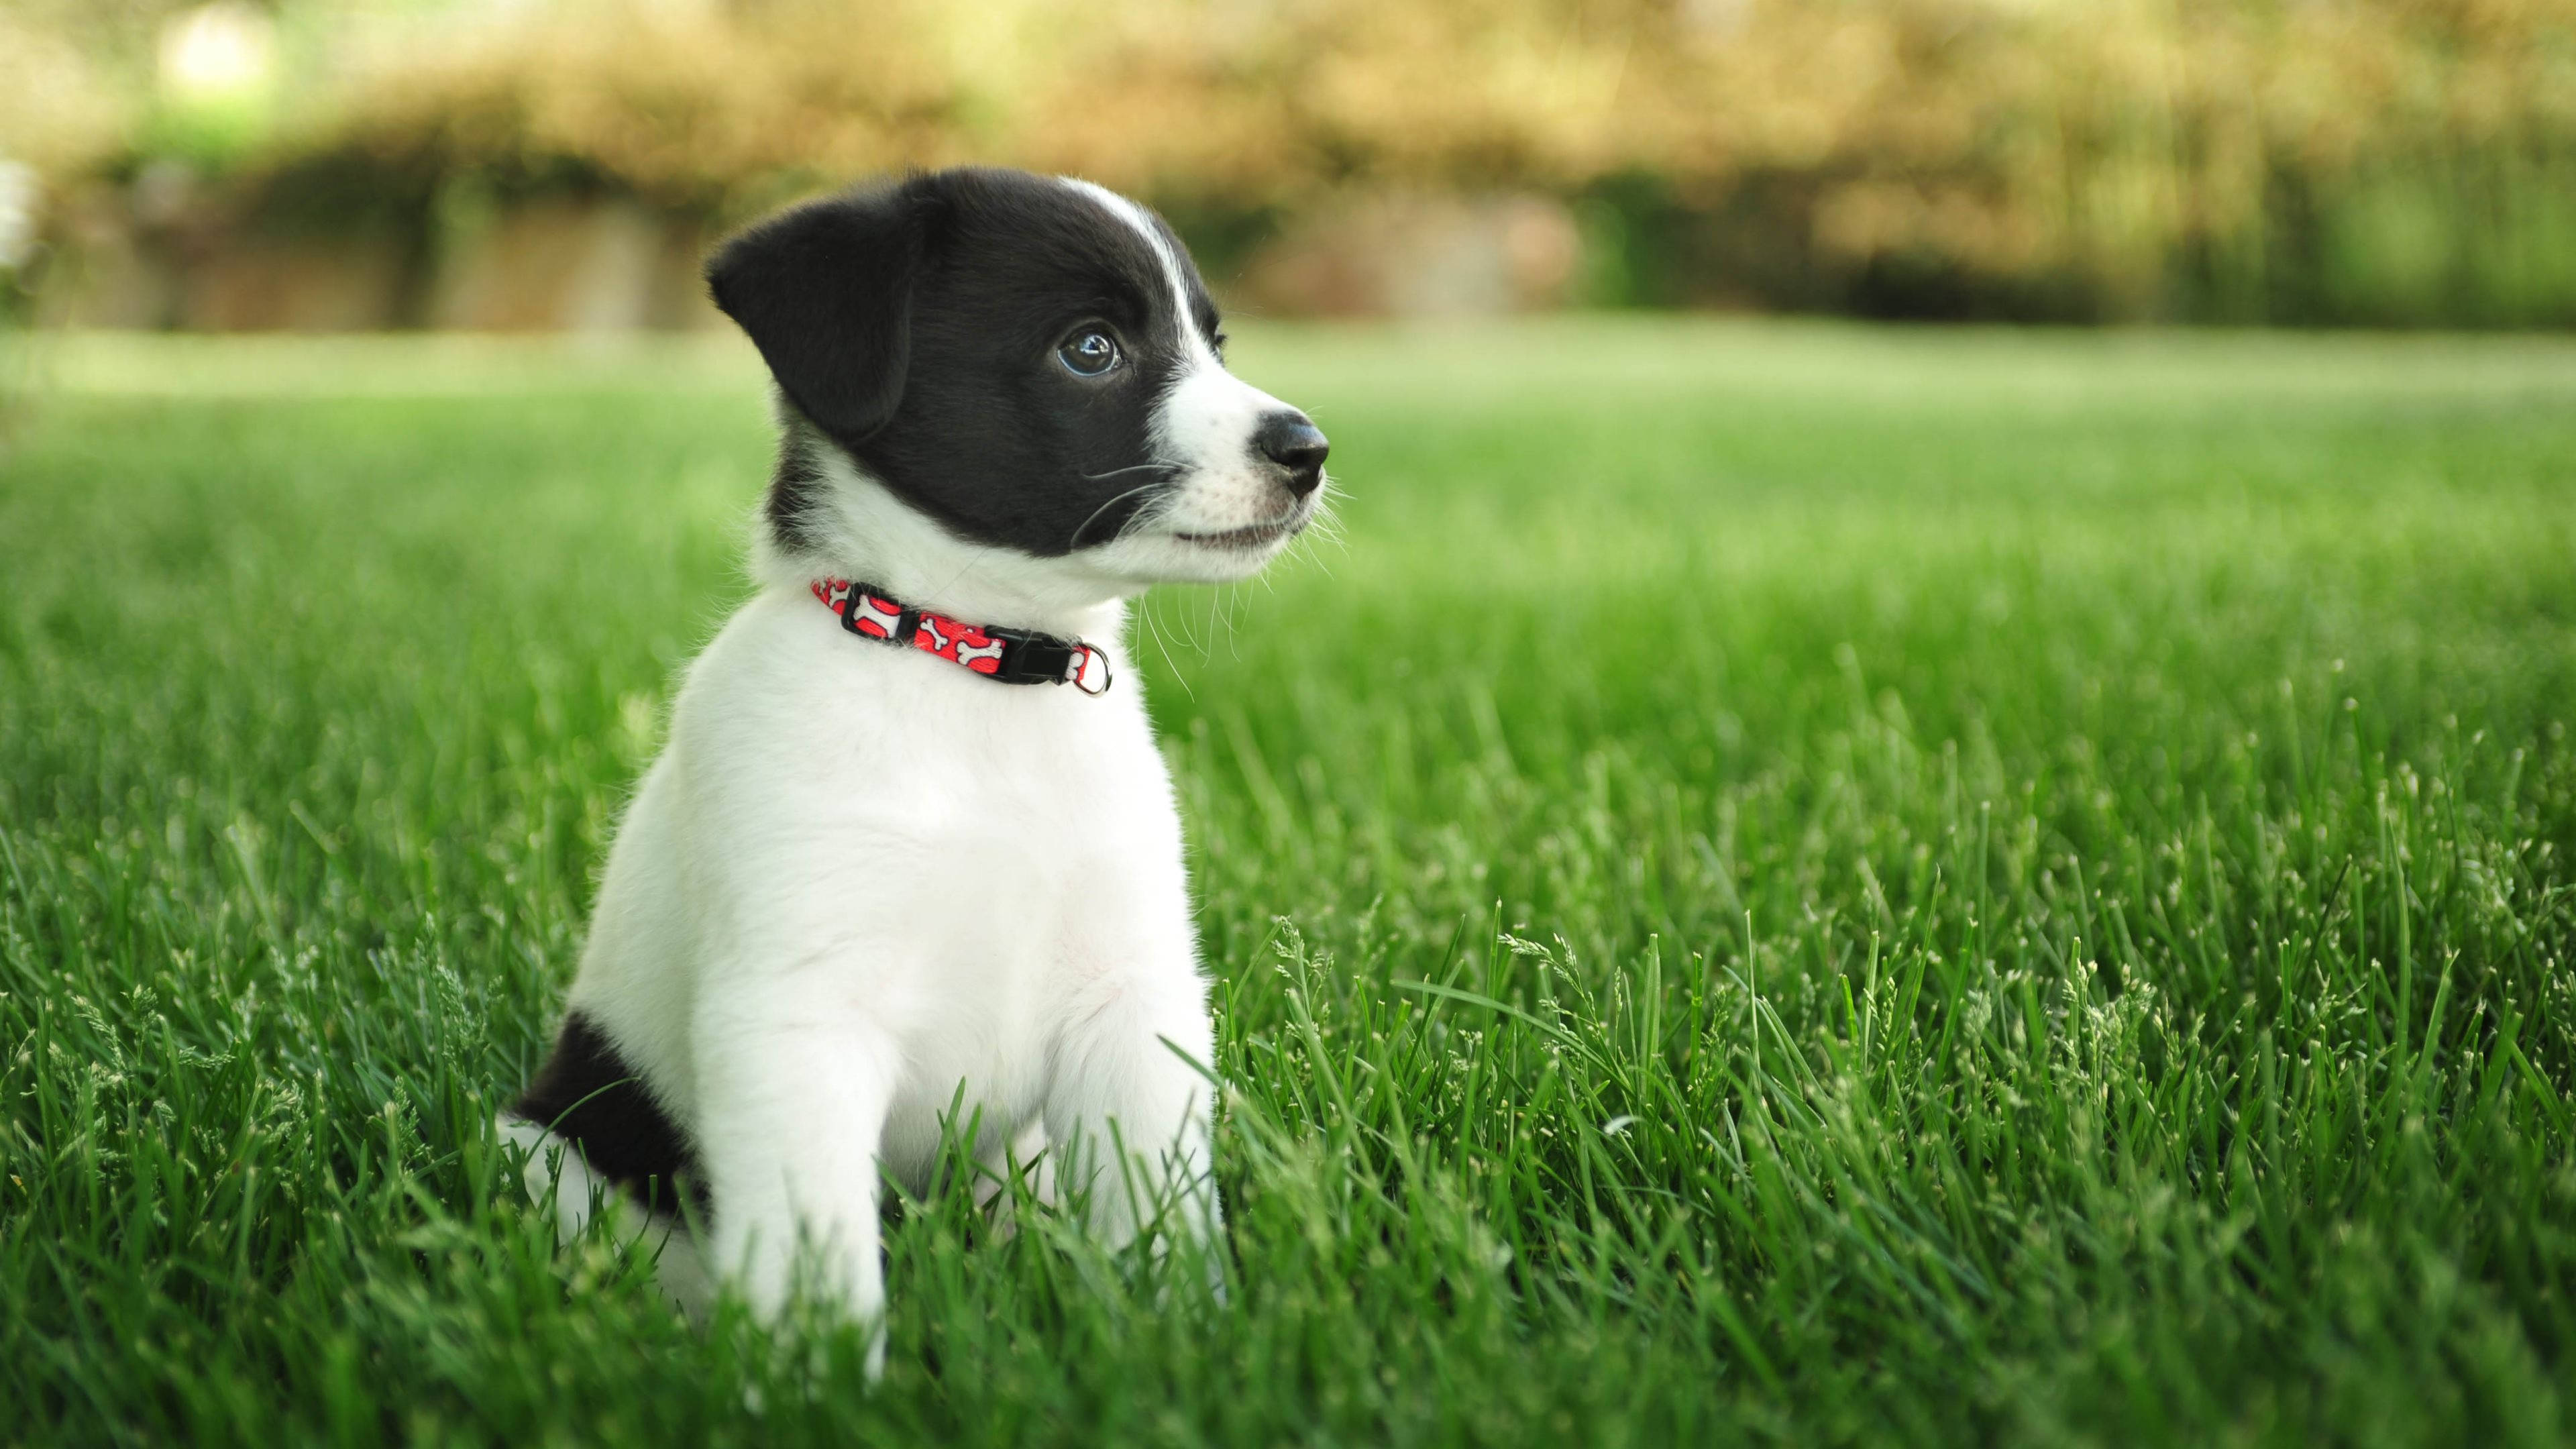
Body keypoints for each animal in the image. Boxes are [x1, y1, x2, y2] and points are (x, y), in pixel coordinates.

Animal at [497, 166, 1329, 1350]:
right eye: (1091, 348)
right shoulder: (797, 1020)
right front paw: (821, 1374)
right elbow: (817, 1259)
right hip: (550, 1157)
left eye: (1212, 342)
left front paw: (1179, 1342)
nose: (1307, 452)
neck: (972, 675)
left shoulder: (1131, 1000)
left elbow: (1159, 1219)